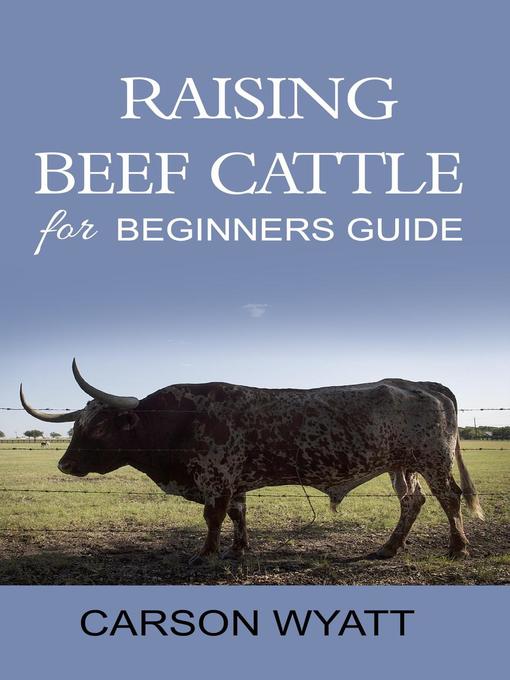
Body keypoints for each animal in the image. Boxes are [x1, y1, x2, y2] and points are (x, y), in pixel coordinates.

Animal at [20, 359, 484, 562]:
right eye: (78, 424)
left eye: (99, 428)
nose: (64, 466)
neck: (178, 419)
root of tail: (422, 382)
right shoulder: (234, 481)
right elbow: (238, 515)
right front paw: (239, 549)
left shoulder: (216, 478)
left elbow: (213, 517)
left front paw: (206, 555)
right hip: (400, 466)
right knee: (412, 501)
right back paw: (389, 547)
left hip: (432, 461)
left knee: (449, 498)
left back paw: (458, 547)